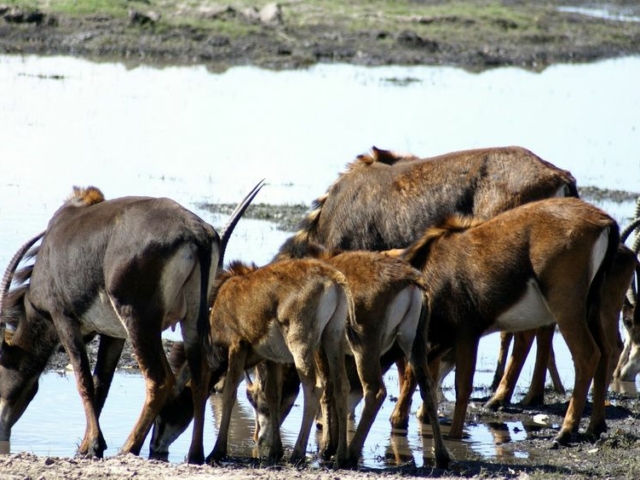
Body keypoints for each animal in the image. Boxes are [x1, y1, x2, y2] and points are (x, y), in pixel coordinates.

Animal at [0, 182, 263, 463]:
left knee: (160, 379)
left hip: (138, 319)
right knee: (199, 375)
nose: (3, 430)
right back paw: (195, 454)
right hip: (190, 319)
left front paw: (93, 446)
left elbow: (84, 381)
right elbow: (101, 384)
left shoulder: (63, 317)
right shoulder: (114, 333)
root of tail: (196, 234)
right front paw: (87, 446)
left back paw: (129, 448)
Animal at [387, 197, 622, 446]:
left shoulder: (466, 334)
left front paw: (454, 436)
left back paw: (565, 432)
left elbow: (462, 387)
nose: (395, 419)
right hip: (592, 306)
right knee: (605, 351)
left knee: (587, 355)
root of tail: (604, 221)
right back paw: (595, 427)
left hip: (566, 307)